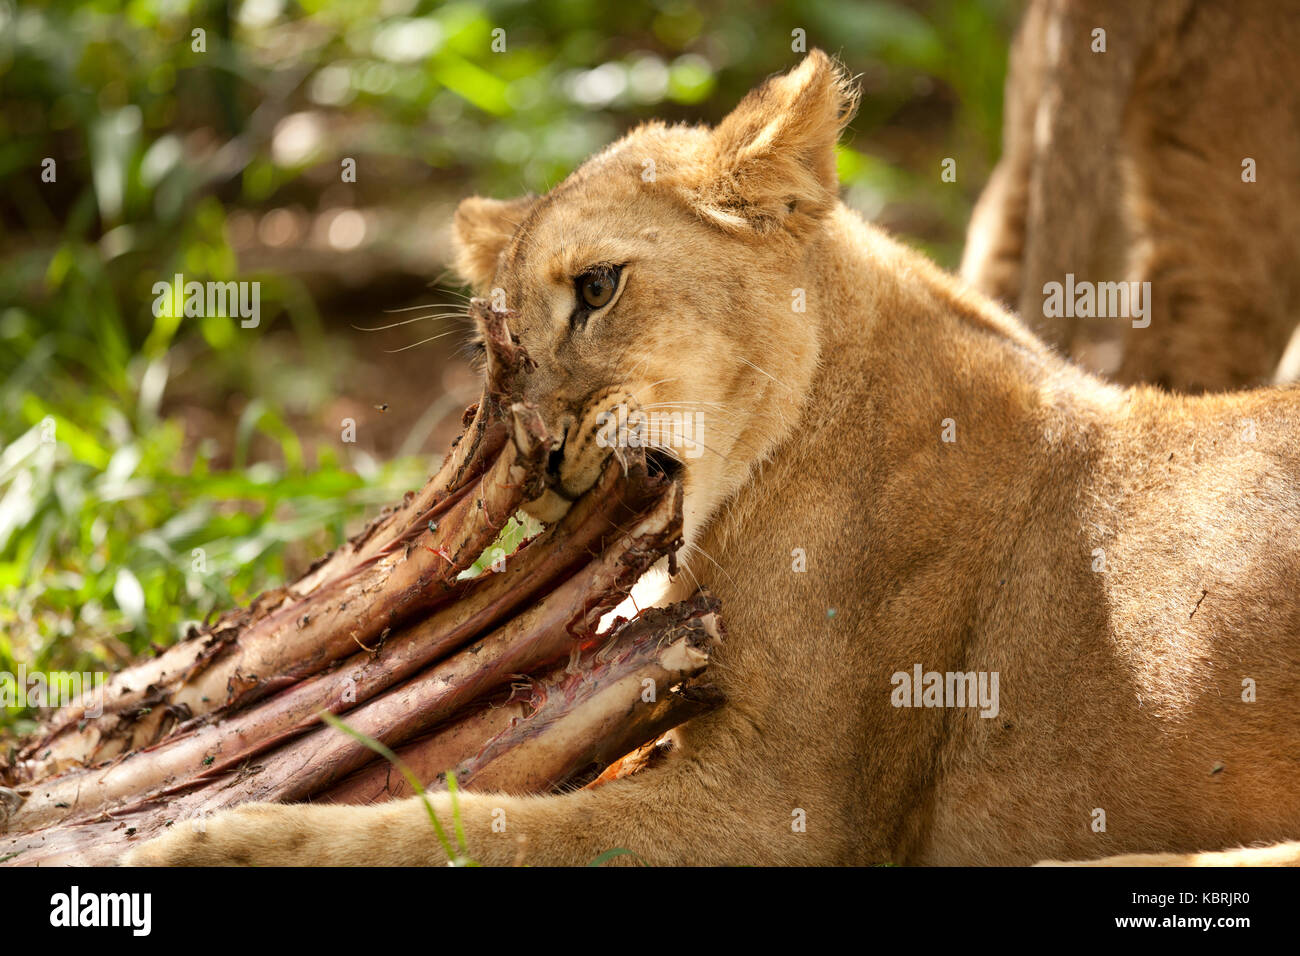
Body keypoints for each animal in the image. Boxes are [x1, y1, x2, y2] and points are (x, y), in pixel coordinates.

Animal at [126, 55, 1300, 868]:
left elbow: (464, 828)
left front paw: (213, 843)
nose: (536, 451)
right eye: (496, 344)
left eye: (598, 288)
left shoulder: (786, 812)